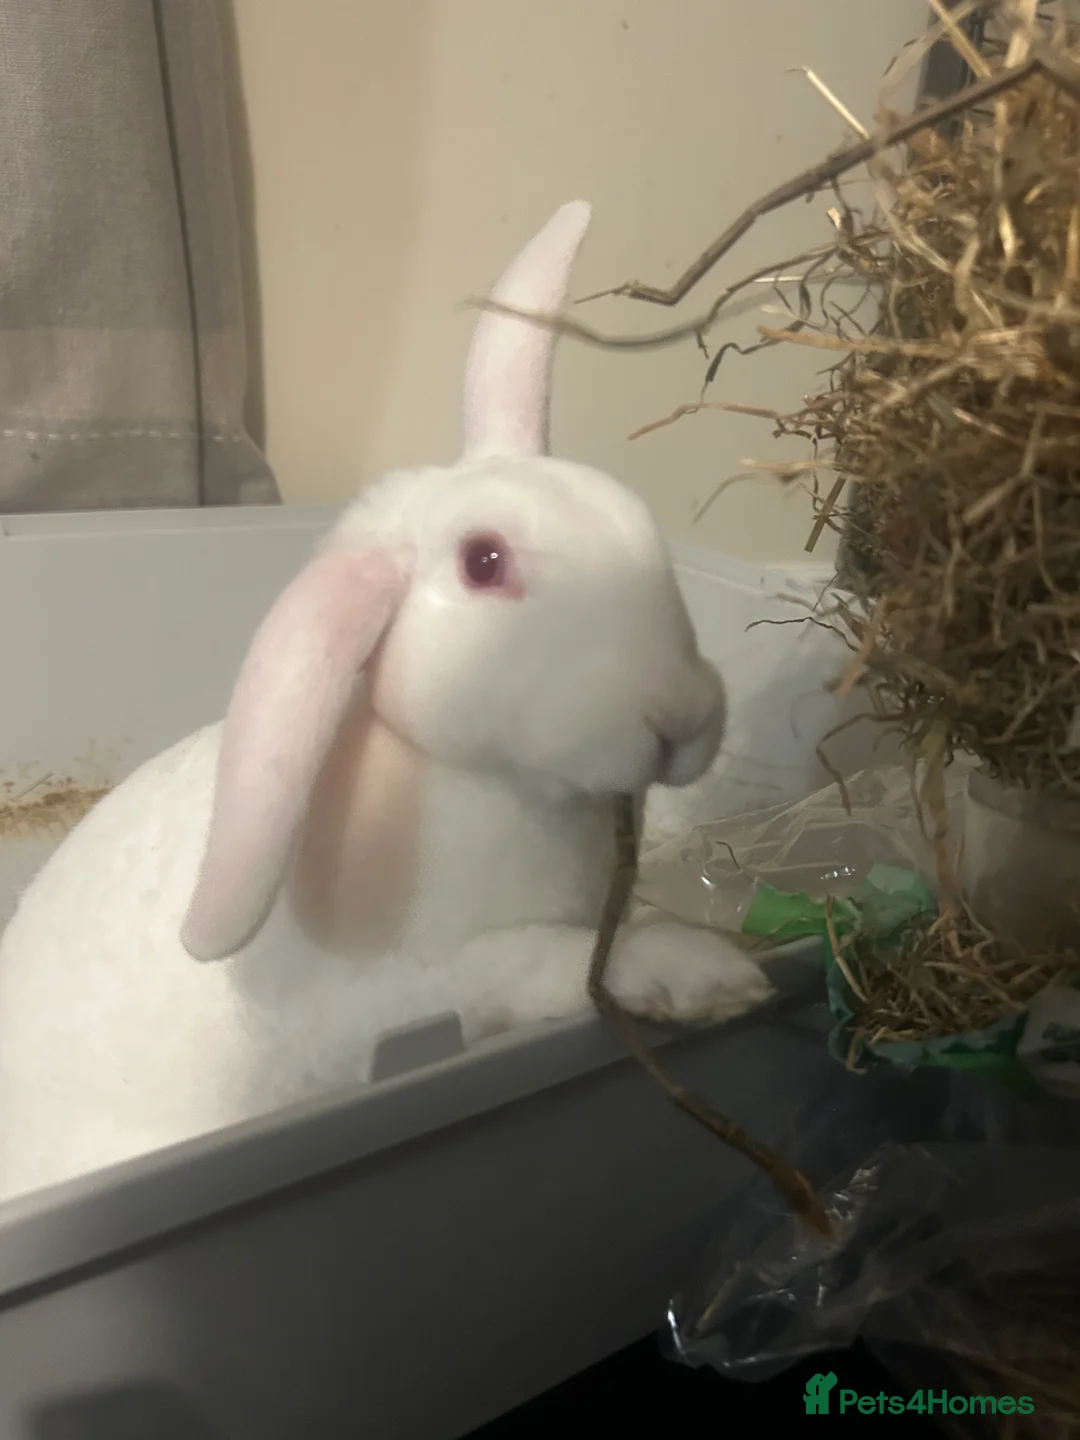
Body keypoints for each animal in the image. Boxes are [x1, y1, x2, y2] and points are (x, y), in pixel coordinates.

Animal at [0, 200, 774, 1203]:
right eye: (484, 562)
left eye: (632, 515)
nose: (683, 717)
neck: (462, 775)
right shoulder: (386, 1003)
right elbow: (536, 964)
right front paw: (707, 972)